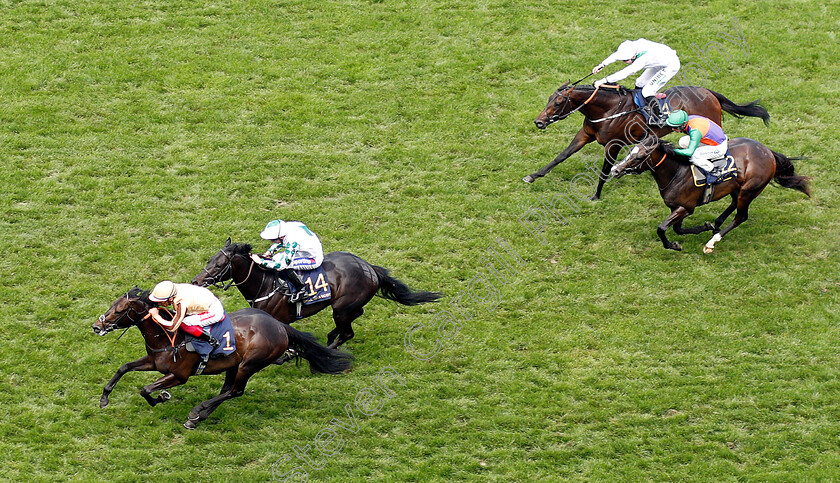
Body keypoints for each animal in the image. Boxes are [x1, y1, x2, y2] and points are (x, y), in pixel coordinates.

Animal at [92, 286, 354, 430]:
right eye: (112, 305)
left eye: (119, 310)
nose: (97, 326)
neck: (167, 338)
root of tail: (280, 326)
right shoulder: (154, 362)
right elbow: (124, 367)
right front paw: (104, 399)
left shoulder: (179, 375)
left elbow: (145, 389)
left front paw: (162, 397)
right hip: (234, 364)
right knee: (228, 390)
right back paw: (198, 417)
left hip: (250, 363)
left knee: (235, 391)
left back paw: (197, 411)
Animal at [194, 241, 442, 348]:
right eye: (210, 260)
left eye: (219, 266)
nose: (197, 281)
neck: (265, 285)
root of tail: (370, 268)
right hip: (346, 306)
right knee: (355, 316)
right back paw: (331, 337)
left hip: (341, 308)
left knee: (347, 332)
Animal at [528, 82, 772, 199]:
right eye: (549, 99)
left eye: (558, 102)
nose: (539, 122)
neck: (608, 109)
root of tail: (710, 93)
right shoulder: (586, 134)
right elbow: (561, 156)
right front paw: (533, 176)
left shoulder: (613, 144)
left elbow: (605, 169)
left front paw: (596, 195)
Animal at [608, 134, 812, 251]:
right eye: (629, 151)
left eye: (639, 157)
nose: (615, 170)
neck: (676, 173)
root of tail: (768, 152)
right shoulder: (676, 207)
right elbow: (678, 229)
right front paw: (704, 226)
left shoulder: (686, 207)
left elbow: (662, 228)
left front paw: (673, 246)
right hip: (737, 188)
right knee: (733, 204)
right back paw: (716, 224)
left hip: (750, 189)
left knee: (741, 216)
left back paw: (712, 242)